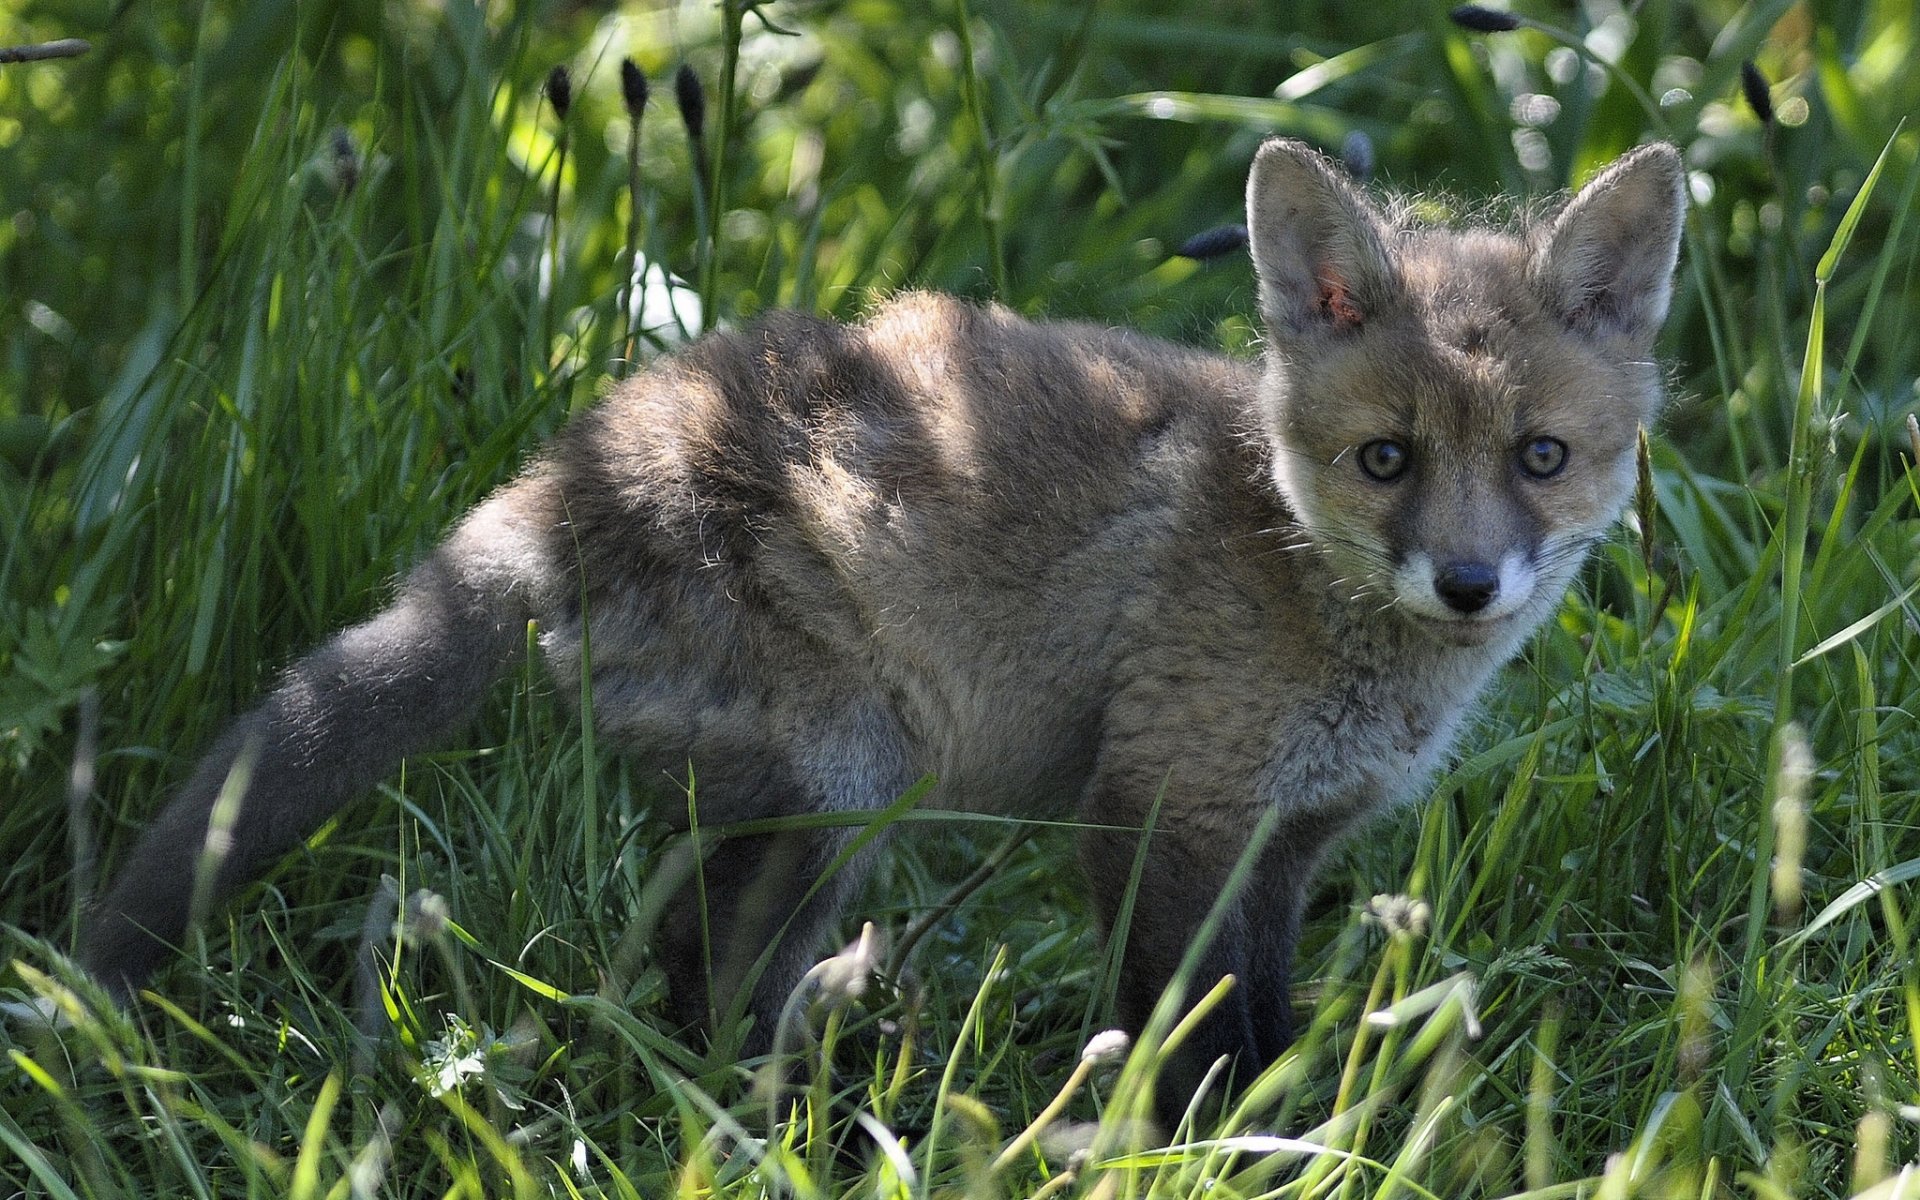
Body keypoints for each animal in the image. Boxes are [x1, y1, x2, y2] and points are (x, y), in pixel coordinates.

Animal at [76, 137, 1685, 1121]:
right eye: (1388, 460)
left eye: (1540, 458)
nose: (1468, 584)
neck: (1290, 559)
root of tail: (573, 472)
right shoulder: (1159, 807)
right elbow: (1187, 1035)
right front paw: (1204, 1147)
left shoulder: (1285, 844)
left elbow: (1261, 1022)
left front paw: (1282, 1134)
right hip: (852, 778)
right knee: (709, 982)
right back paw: (789, 1127)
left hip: (819, 809)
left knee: (700, 969)